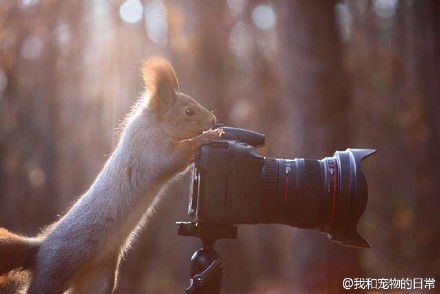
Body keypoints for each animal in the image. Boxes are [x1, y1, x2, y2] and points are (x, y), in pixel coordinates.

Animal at [0, 56, 222, 292]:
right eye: (189, 111)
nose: (213, 120)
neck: (155, 124)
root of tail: (41, 249)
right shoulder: (148, 150)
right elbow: (174, 157)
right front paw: (206, 138)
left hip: (99, 278)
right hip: (56, 268)